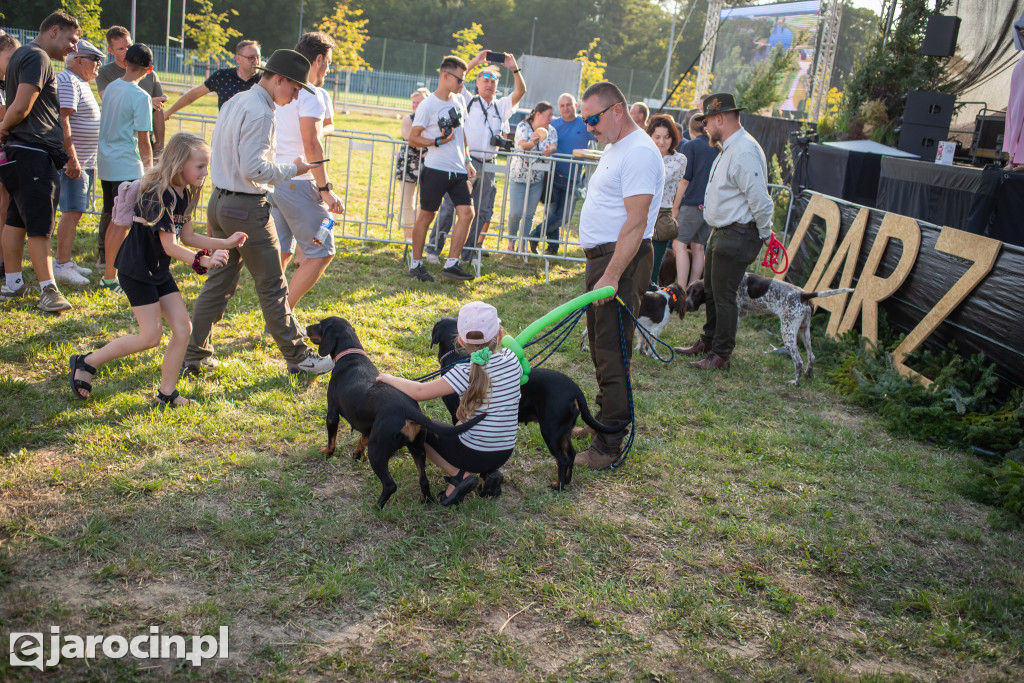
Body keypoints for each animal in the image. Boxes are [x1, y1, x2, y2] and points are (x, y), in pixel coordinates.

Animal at [307, 317, 483, 507]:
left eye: (320, 325)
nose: (307, 327)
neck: (351, 355)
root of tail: (408, 410)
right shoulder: (368, 424)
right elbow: (362, 438)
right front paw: (357, 455)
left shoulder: (332, 413)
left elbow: (332, 440)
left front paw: (327, 452)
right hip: (418, 448)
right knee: (423, 480)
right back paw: (425, 500)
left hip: (377, 451)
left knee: (390, 485)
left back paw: (376, 507)